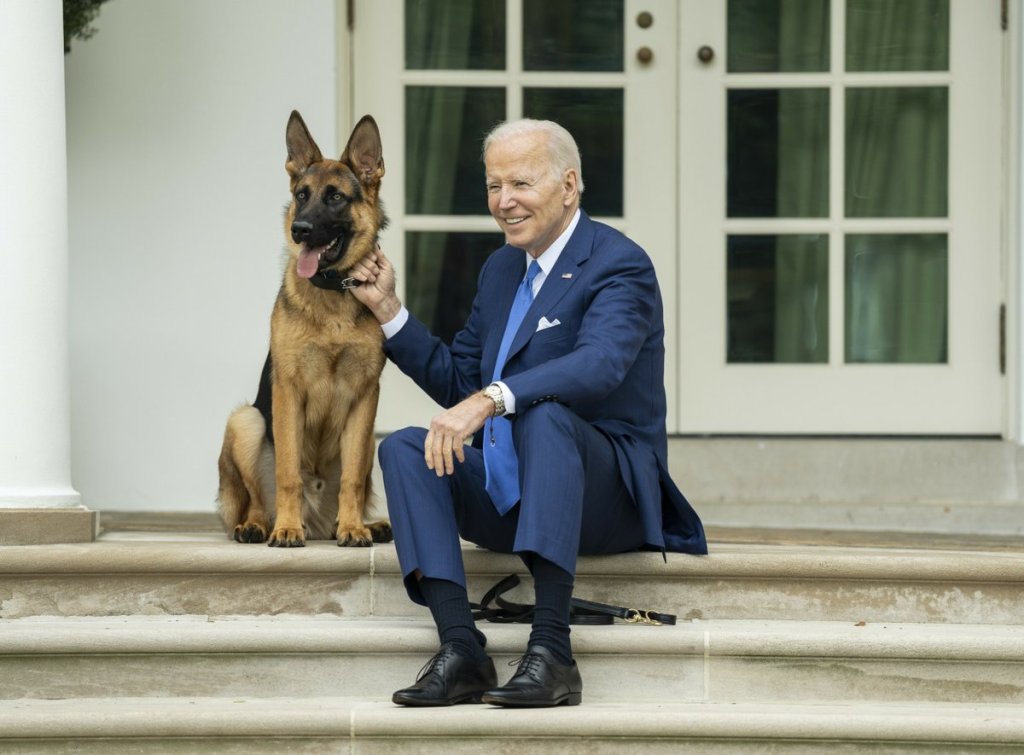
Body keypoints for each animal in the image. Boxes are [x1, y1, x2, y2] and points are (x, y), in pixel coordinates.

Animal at [216, 110, 391, 549]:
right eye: (301, 195)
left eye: (335, 197)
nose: (300, 229)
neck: (332, 294)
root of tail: (318, 522)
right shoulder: (287, 392)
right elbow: (288, 472)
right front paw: (286, 529)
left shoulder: (366, 396)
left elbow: (351, 479)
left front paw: (354, 528)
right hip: (246, 421)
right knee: (257, 499)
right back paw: (260, 526)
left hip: (371, 441)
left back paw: (365, 524)